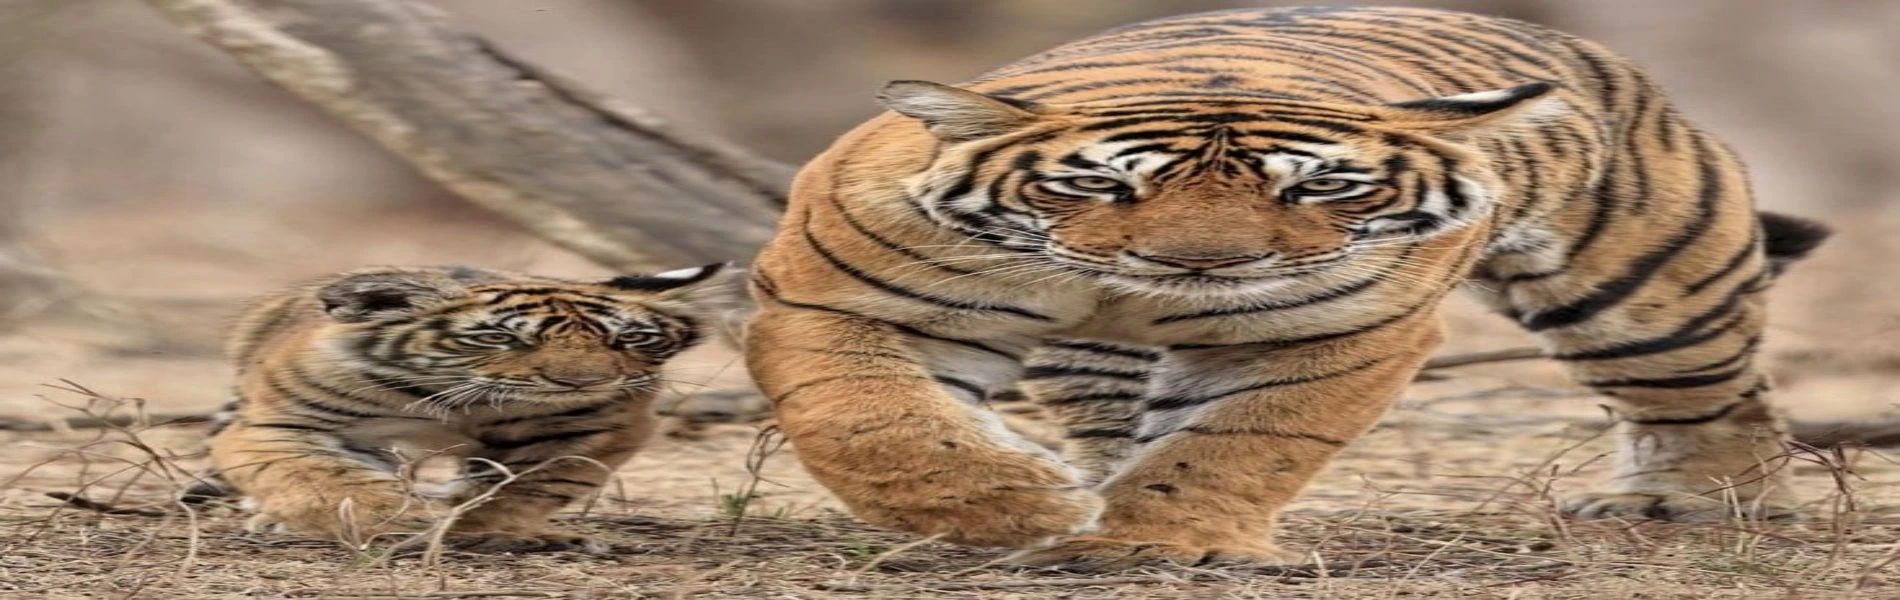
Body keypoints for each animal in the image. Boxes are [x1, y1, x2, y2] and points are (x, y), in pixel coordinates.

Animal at [193, 263, 725, 552]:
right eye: (501, 338)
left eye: (628, 339)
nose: (584, 382)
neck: (462, 401)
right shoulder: (280, 423)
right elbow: (325, 478)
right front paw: (397, 521)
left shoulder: (597, 424)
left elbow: (526, 487)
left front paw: (487, 529)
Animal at [741, 6, 1831, 569]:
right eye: (1100, 185)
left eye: (1320, 187)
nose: (1203, 270)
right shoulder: (836, 300)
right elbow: (872, 424)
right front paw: (1020, 507)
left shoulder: (1332, 334)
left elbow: (1236, 446)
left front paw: (1161, 542)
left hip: (1646, 293)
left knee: (1717, 400)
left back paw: (1685, 503)